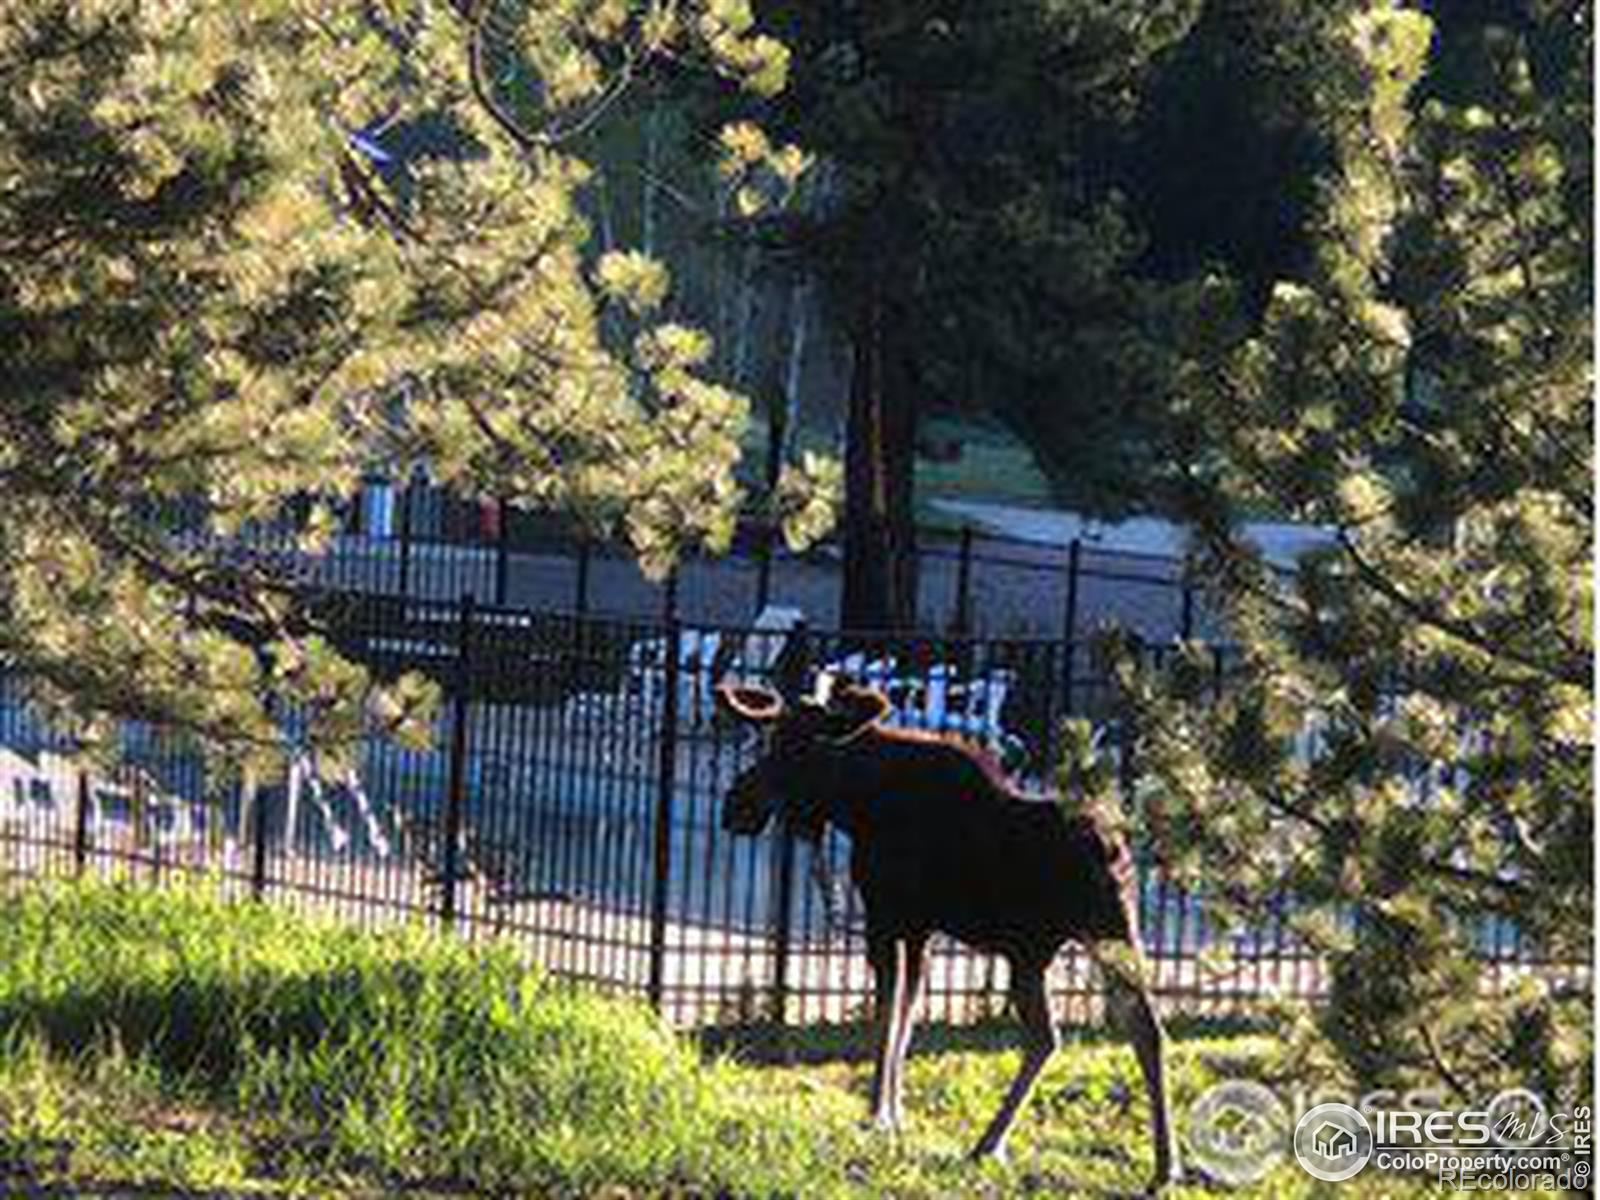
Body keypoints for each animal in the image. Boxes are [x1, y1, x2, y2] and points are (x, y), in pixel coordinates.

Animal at [720, 681, 1184, 1190]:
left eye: (797, 747)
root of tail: (1113, 850)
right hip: (1112, 937)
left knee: (1048, 1036)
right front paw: (895, 1113)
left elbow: (886, 1018)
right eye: (771, 739)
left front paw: (876, 1115)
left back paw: (989, 1143)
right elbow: (906, 1017)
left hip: (1032, 953)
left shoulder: (886, 918)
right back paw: (1165, 1165)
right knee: (1147, 1027)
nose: (735, 804)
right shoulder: (920, 930)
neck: (857, 803)